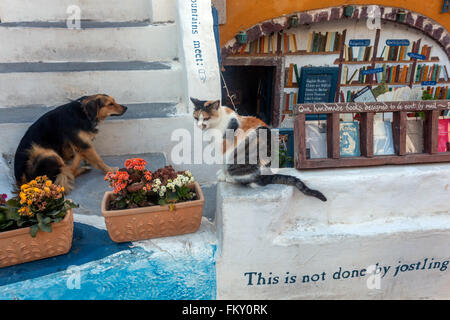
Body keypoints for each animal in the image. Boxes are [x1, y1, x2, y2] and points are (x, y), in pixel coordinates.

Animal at [190, 98, 326, 202]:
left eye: (206, 118)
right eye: (196, 118)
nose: (199, 125)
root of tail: (267, 176)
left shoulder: (224, 148)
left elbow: (223, 162)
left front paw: (223, 176)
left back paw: (231, 178)